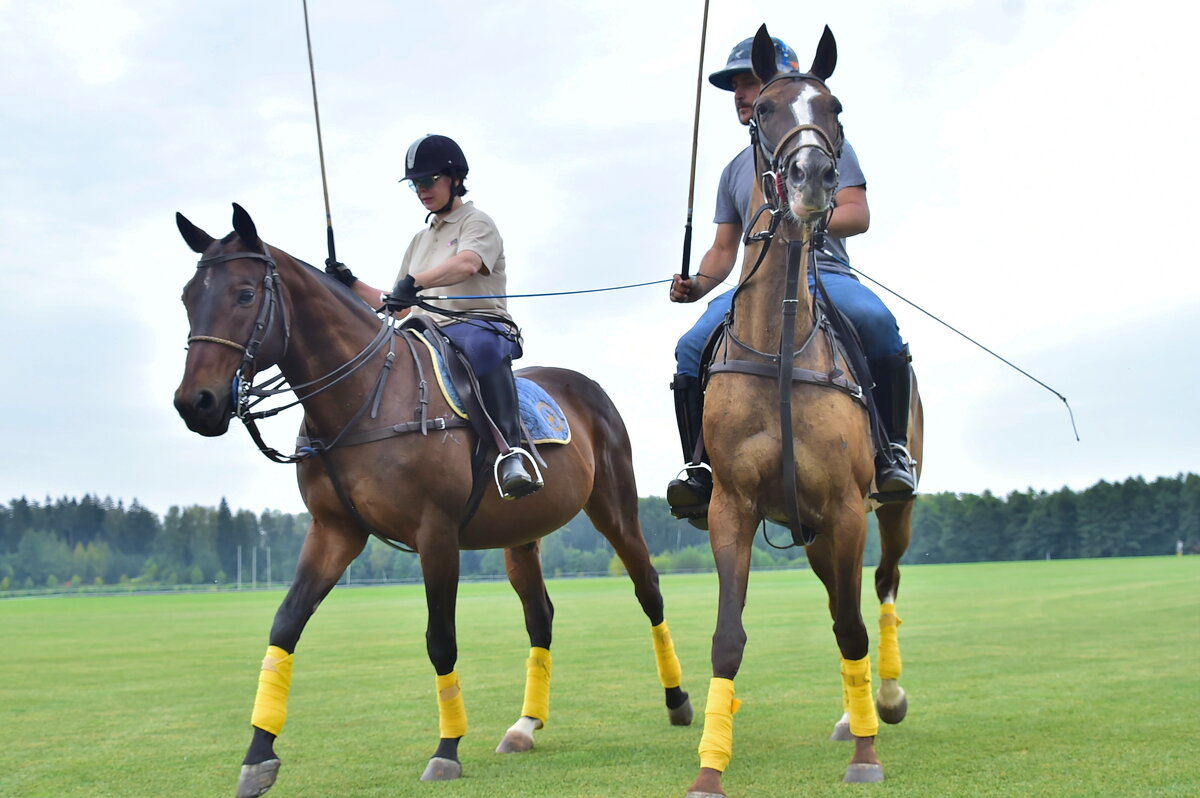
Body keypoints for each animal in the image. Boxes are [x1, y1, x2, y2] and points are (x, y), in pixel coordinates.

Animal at [171, 206, 696, 796]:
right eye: (188, 296)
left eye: (243, 294)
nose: (196, 403)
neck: (363, 399)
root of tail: (587, 386)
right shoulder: (334, 531)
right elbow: (286, 624)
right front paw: (258, 755)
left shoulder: (436, 532)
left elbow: (440, 638)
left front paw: (447, 750)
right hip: (521, 535)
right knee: (540, 615)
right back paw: (525, 725)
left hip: (615, 506)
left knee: (648, 590)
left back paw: (677, 700)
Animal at [681, 23, 921, 792]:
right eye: (762, 110)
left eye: (834, 106)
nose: (811, 178)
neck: (782, 340)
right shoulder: (733, 507)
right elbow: (728, 638)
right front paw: (709, 770)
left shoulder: (847, 508)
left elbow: (852, 627)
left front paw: (866, 758)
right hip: (810, 530)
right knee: (844, 596)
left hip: (887, 510)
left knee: (881, 588)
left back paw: (881, 703)